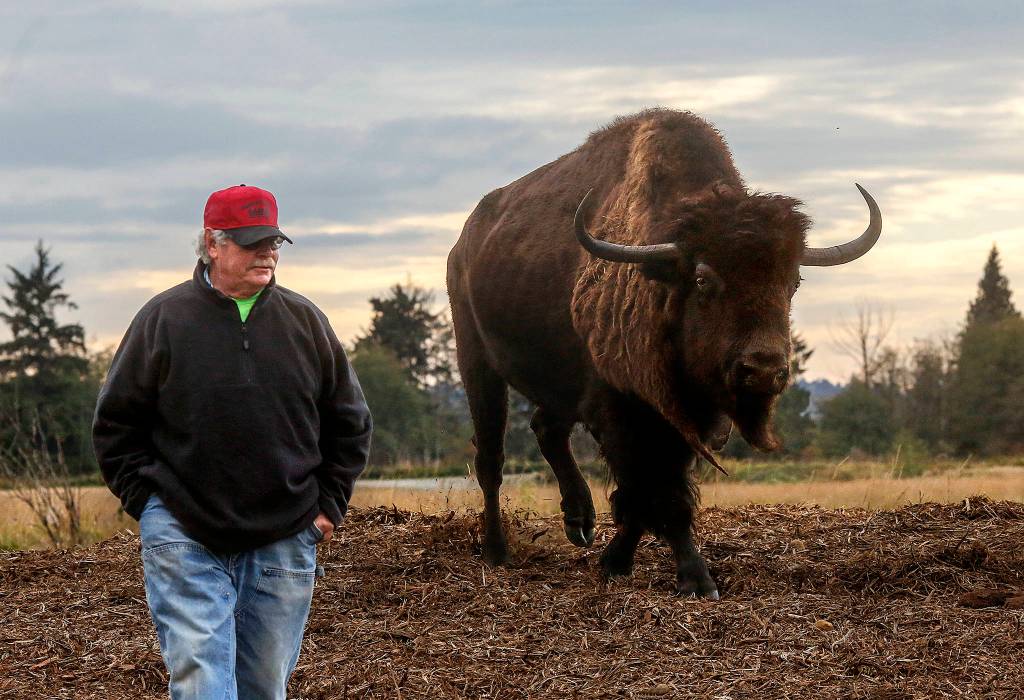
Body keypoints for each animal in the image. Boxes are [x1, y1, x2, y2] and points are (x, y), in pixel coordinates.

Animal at [446, 109, 881, 597]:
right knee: (491, 458)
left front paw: (616, 561)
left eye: (793, 282)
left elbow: (654, 491)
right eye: (704, 279)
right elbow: (653, 491)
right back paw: (496, 551)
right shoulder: (621, 413)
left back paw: (580, 521)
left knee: (545, 427)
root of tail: (464, 243)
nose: (764, 370)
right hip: (477, 363)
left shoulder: (684, 417)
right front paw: (697, 579)